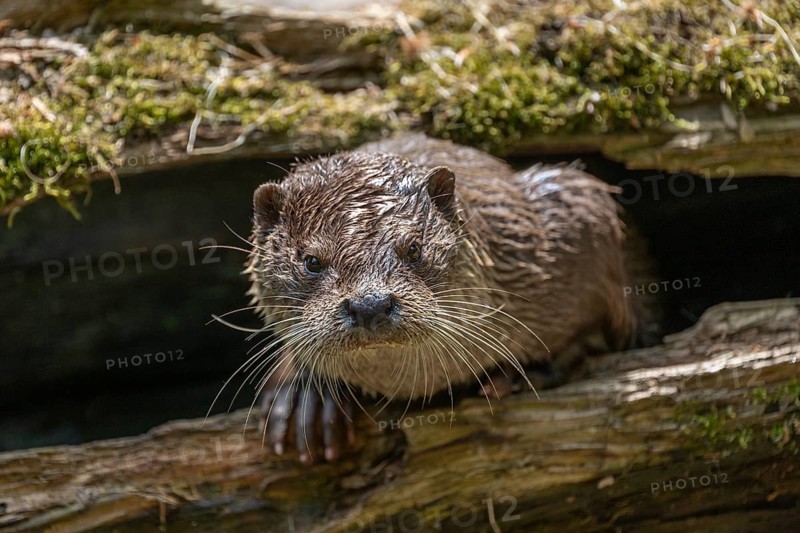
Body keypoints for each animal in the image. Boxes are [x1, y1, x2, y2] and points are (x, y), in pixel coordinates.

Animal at [245, 134, 638, 463]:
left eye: (414, 249)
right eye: (312, 261)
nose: (370, 304)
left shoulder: (574, 206)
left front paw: (523, 372)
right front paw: (307, 398)